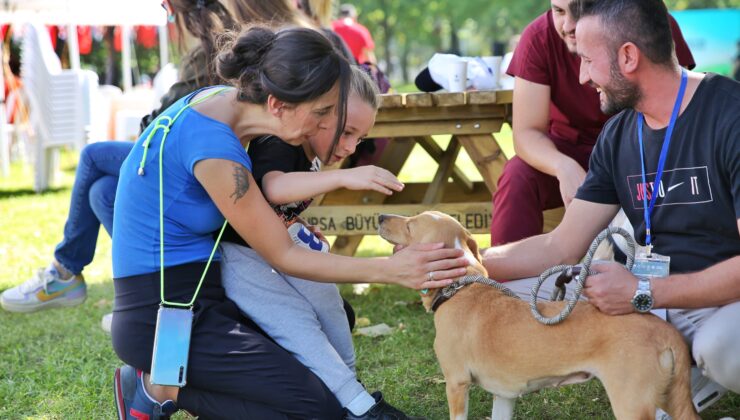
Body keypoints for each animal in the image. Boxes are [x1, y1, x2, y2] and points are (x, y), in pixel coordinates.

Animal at [378, 213, 696, 420]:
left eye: (409, 225)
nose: (380, 216)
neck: (460, 288)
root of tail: (664, 331)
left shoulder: (456, 384)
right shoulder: (504, 395)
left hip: (633, 405)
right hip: (669, 398)